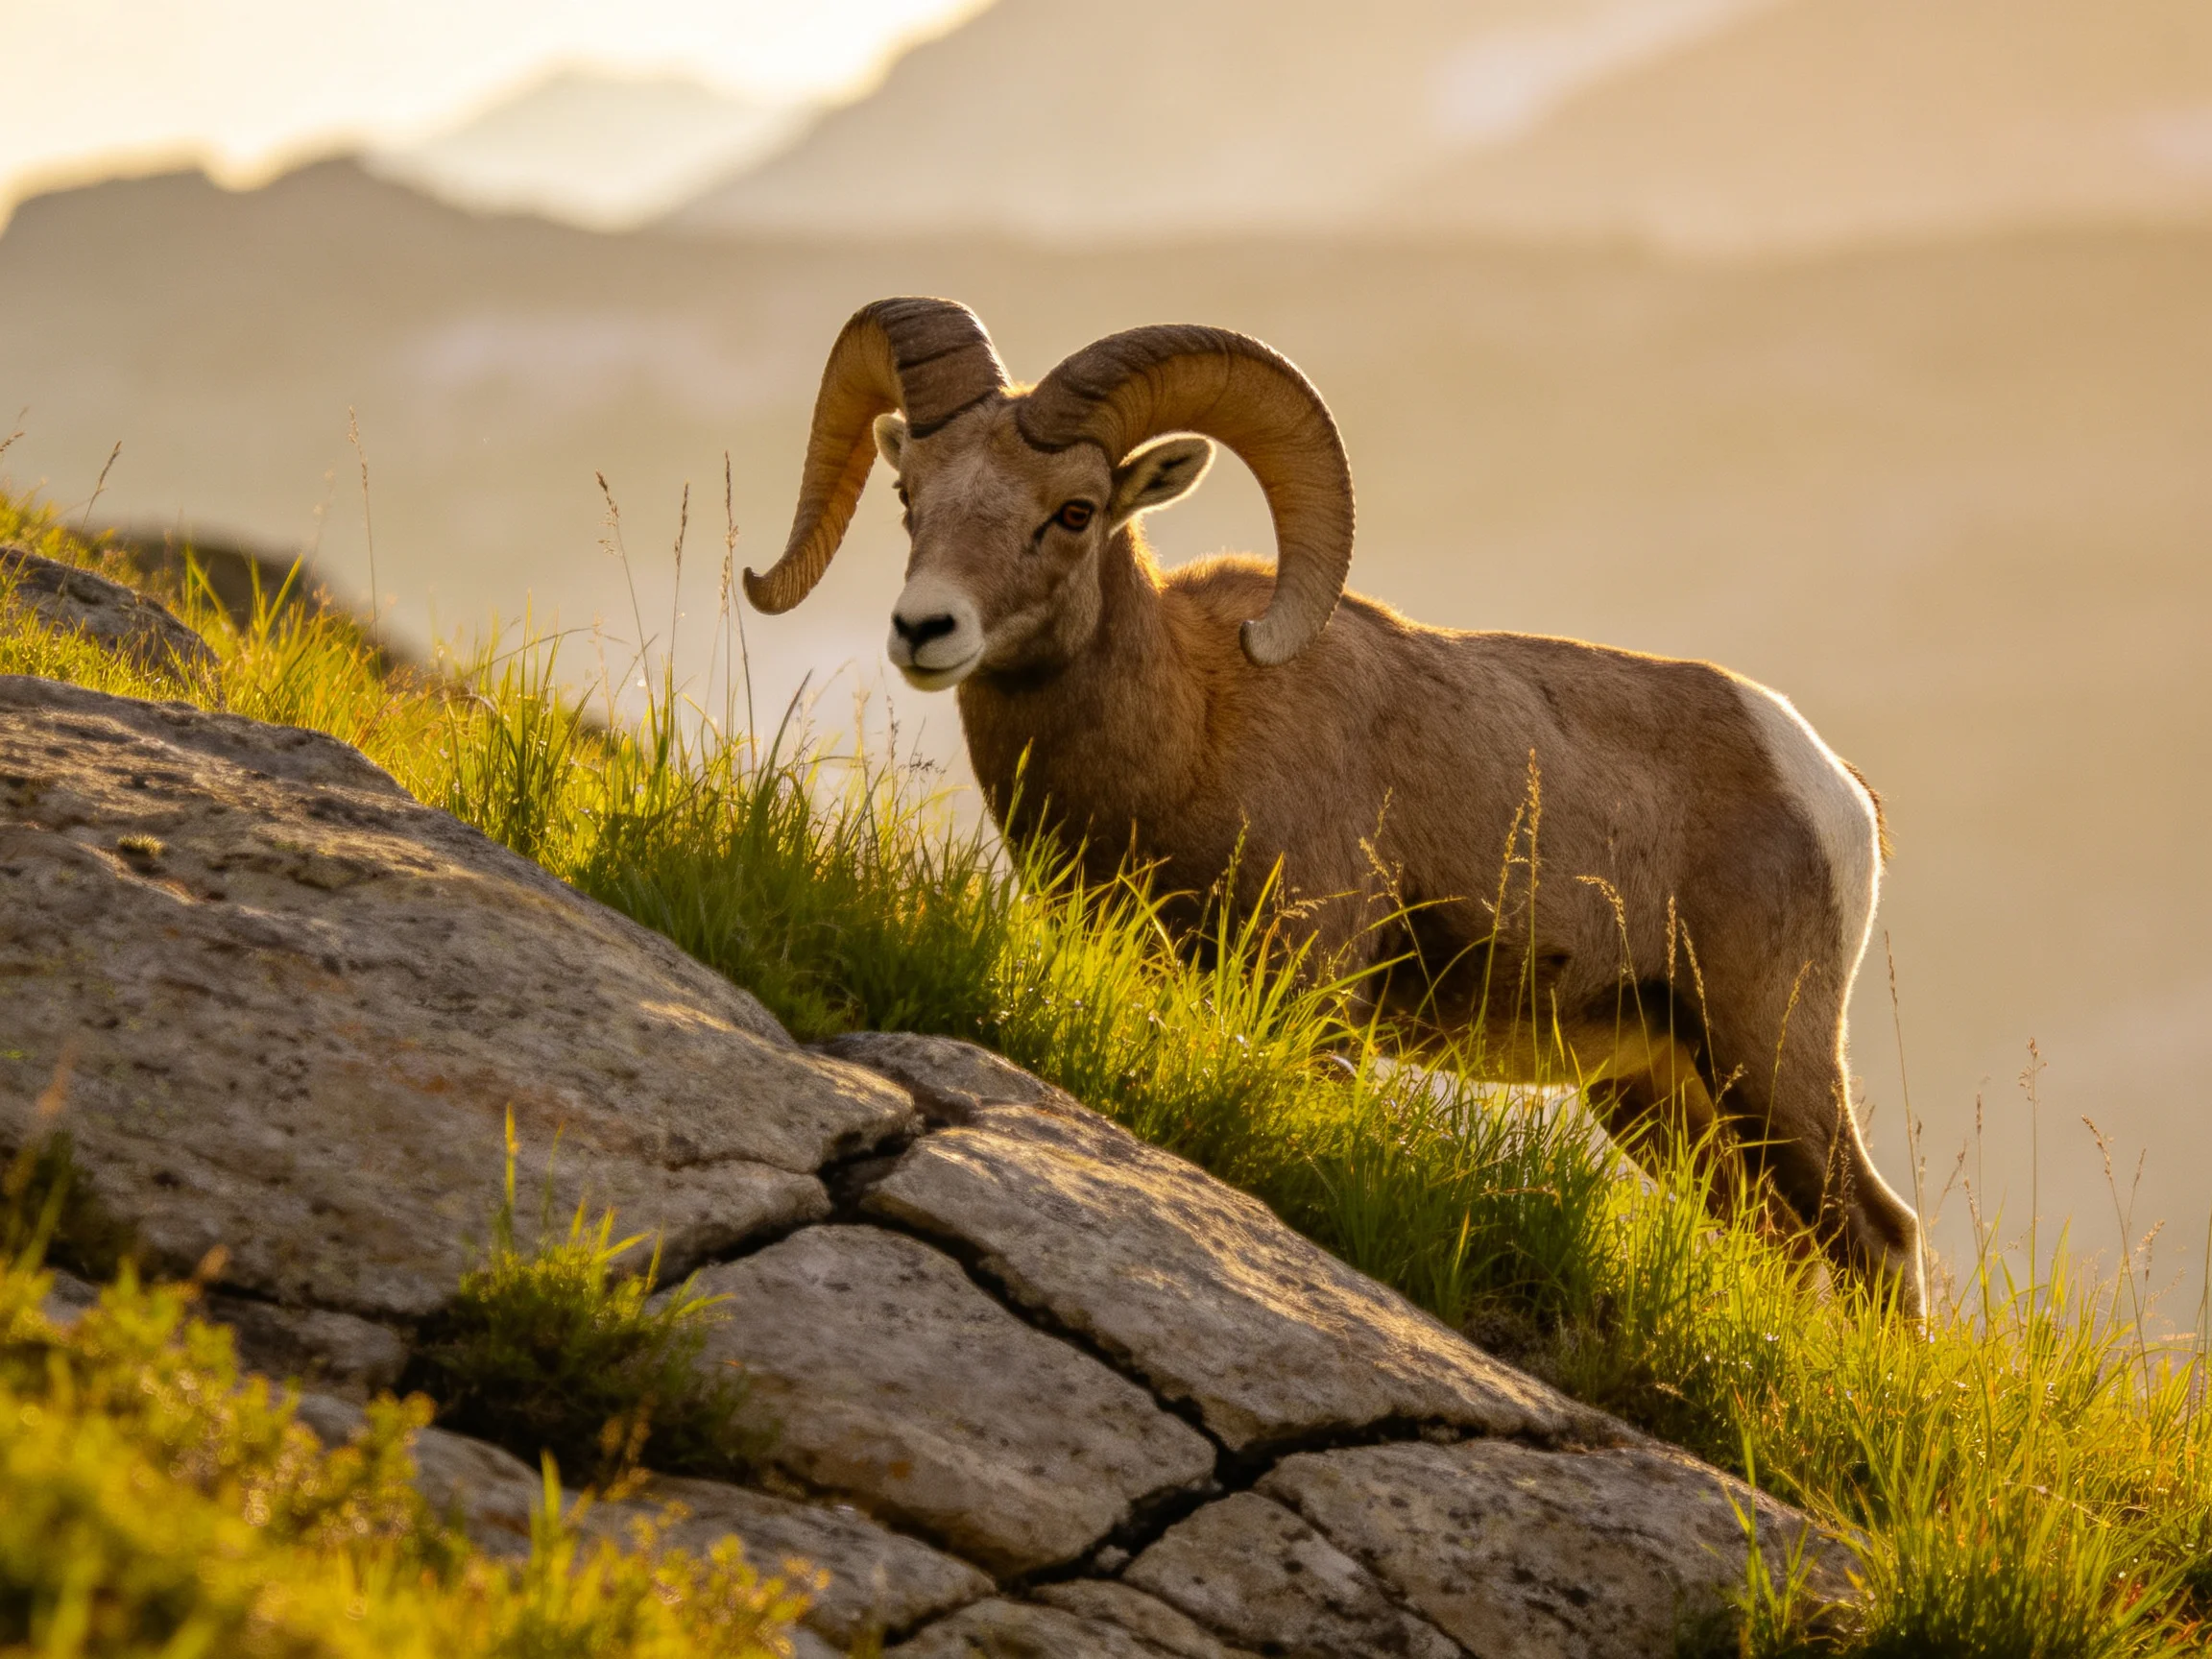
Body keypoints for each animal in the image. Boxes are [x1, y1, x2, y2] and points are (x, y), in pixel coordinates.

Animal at [745, 296, 1924, 1314]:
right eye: (911, 498)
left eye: (1072, 513)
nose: (925, 628)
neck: (1190, 733)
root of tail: (1833, 789)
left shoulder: (1313, 990)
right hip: (1663, 1100)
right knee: (1794, 1249)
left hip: (1766, 1058)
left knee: (1879, 1240)